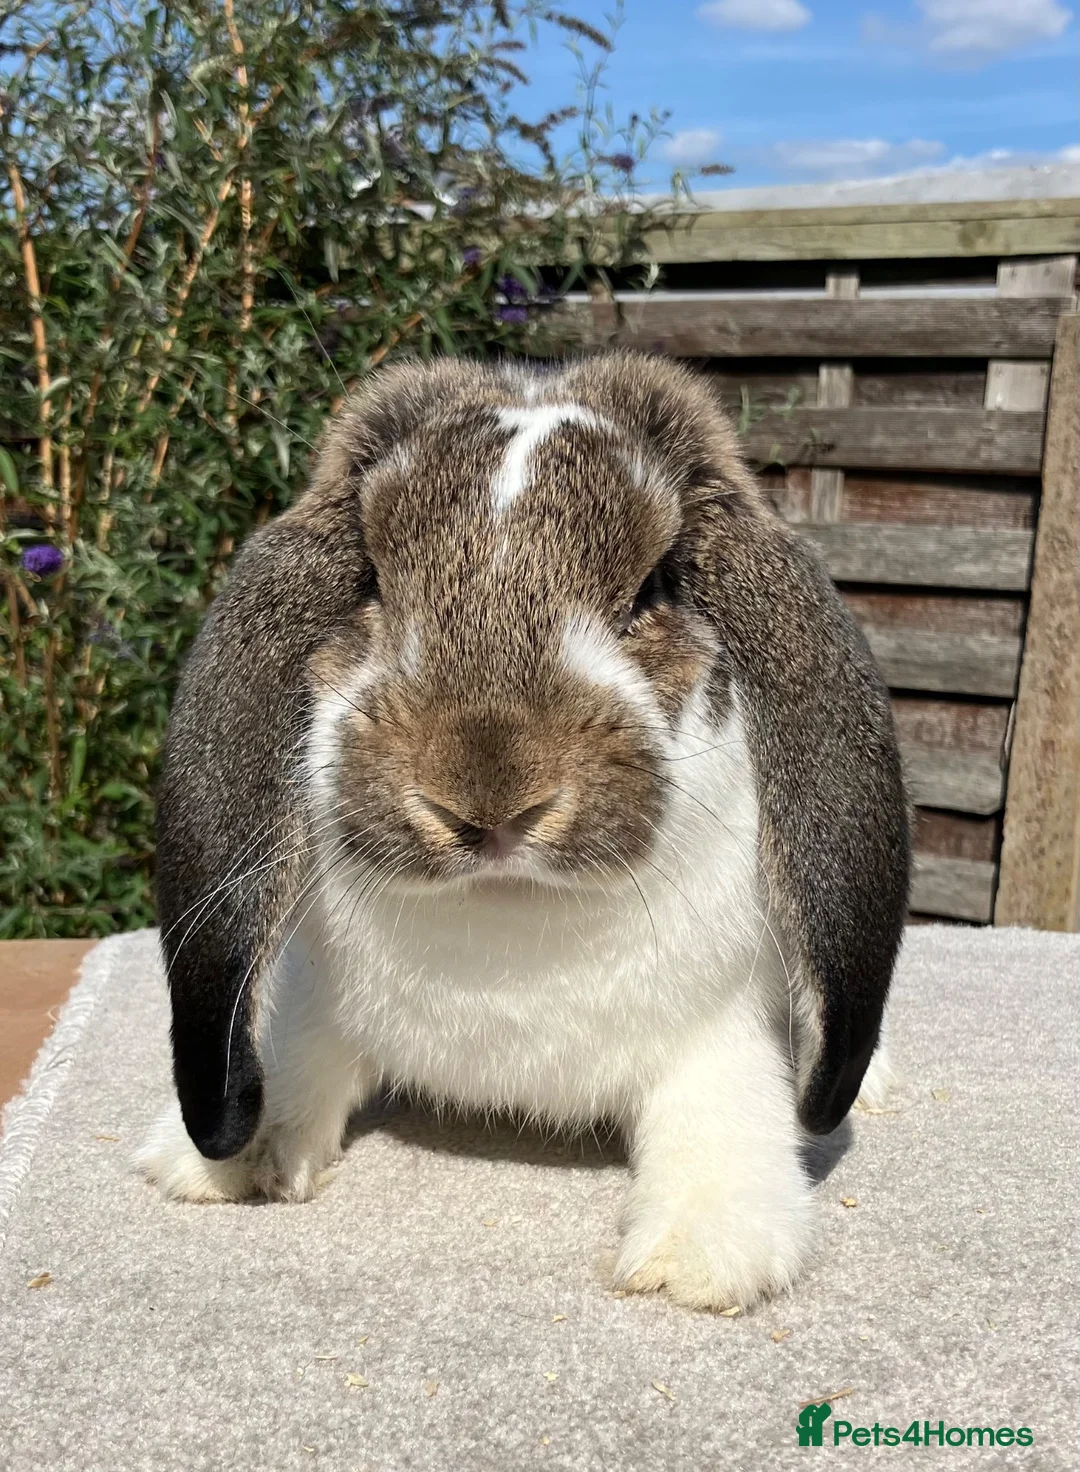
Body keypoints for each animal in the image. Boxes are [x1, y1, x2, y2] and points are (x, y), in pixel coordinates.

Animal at [136, 351, 909, 1312]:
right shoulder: (320, 1007)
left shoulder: (721, 1038)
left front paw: (698, 1256)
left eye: (656, 586)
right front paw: (225, 1165)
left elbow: (724, 1125)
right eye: (369, 582)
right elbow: (299, 1061)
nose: (488, 799)